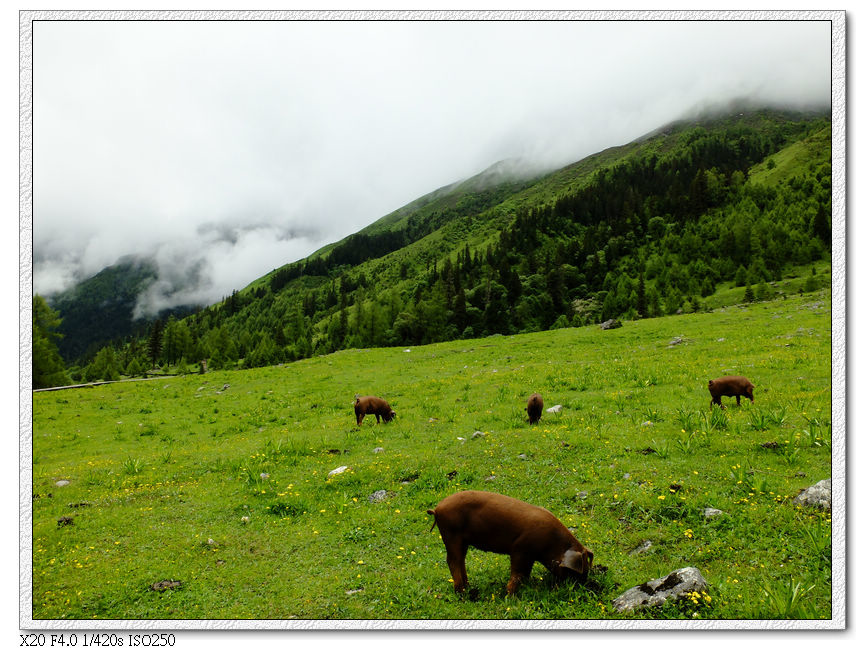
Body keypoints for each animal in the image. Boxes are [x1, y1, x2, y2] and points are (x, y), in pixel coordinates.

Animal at [426, 492, 592, 592]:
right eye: (574, 571)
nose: (583, 585)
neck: (552, 544)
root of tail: (437, 508)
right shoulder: (519, 549)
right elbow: (517, 573)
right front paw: (510, 595)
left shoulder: (529, 556)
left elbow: (525, 573)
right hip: (451, 535)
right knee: (452, 561)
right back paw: (462, 592)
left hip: (462, 541)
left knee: (460, 560)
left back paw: (467, 586)